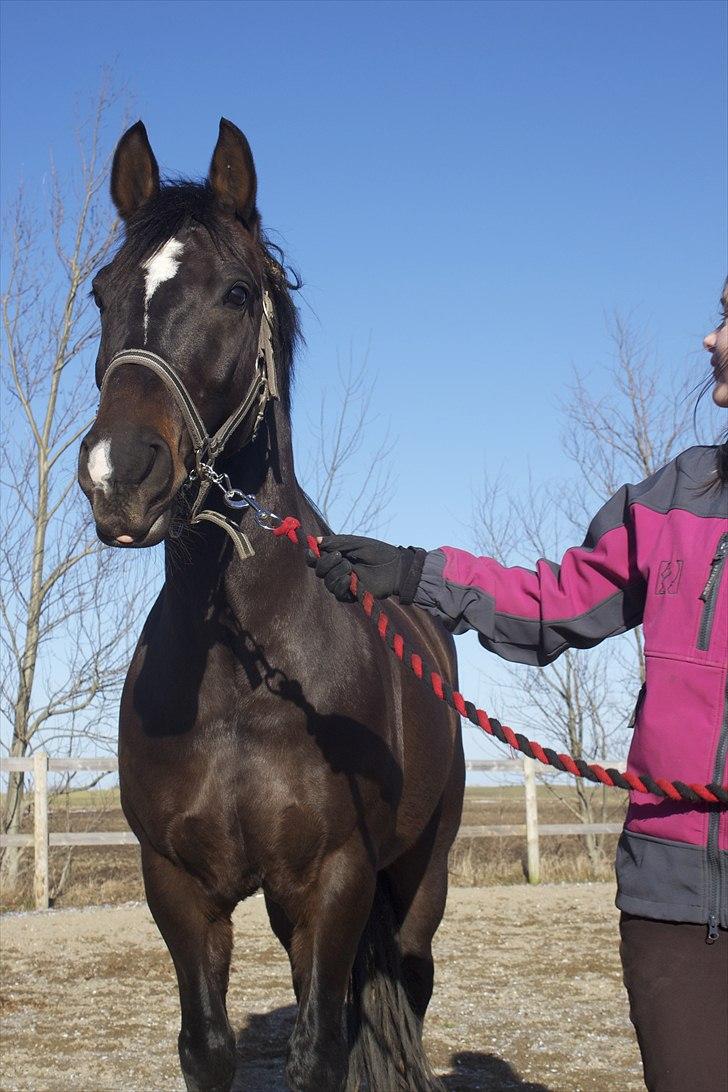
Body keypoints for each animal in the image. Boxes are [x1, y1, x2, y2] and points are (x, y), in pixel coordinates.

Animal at [79, 119, 464, 1092]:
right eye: (102, 292)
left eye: (237, 291)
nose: (118, 474)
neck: (244, 673)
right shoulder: (179, 888)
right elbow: (208, 1047)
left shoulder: (334, 882)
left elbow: (323, 1050)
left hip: (420, 878)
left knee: (407, 984)